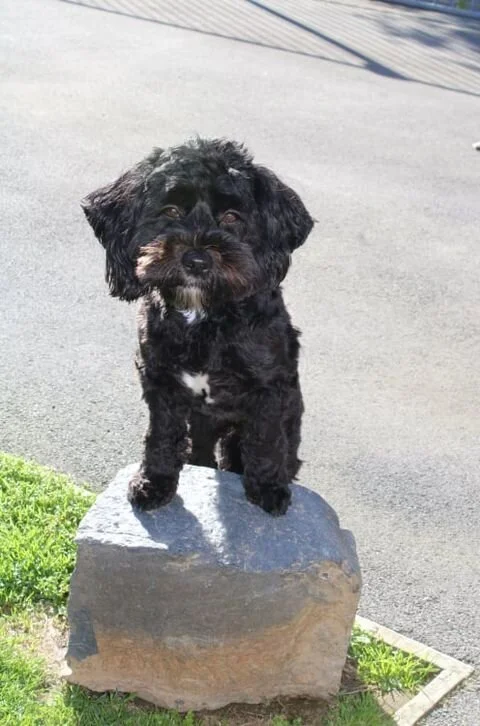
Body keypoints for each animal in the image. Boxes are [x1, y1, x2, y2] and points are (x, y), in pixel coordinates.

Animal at [82, 138, 313, 515]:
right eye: (171, 211)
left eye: (232, 217)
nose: (196, 259)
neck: (204, 316)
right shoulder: (161, 382)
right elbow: (161, 436)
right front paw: (154, 483)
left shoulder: (269, 390)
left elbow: (265, 441)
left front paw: (268, 488)